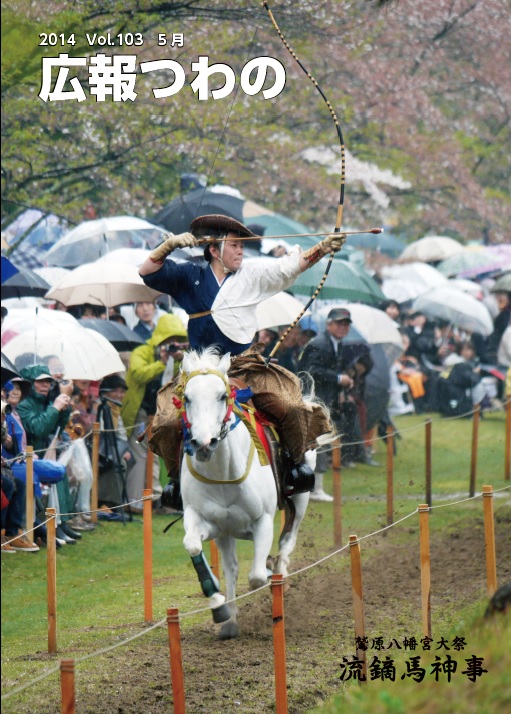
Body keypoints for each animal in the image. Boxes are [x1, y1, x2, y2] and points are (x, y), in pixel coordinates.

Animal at [180, 348, 316, 636]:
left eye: (222, 396)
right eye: (186, 398)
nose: (204, 444)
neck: (223, 474)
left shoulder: (262, 521)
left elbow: (255, 577)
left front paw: (269, 573)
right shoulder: (206, 521)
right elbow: (194, 545)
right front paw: (218, 605)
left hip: (301, 498)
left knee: (287, 541)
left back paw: (279, 575)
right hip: (226, 532)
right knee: (231, 567)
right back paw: (230, 621)